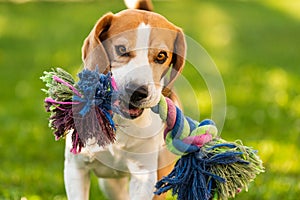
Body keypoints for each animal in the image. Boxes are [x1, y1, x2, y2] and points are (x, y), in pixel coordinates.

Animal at [63, 0, 185, 199]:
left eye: (161, 55)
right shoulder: (75, 168)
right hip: (109, 184)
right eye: (121, 49)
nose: (137, 92)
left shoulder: (144, 176)